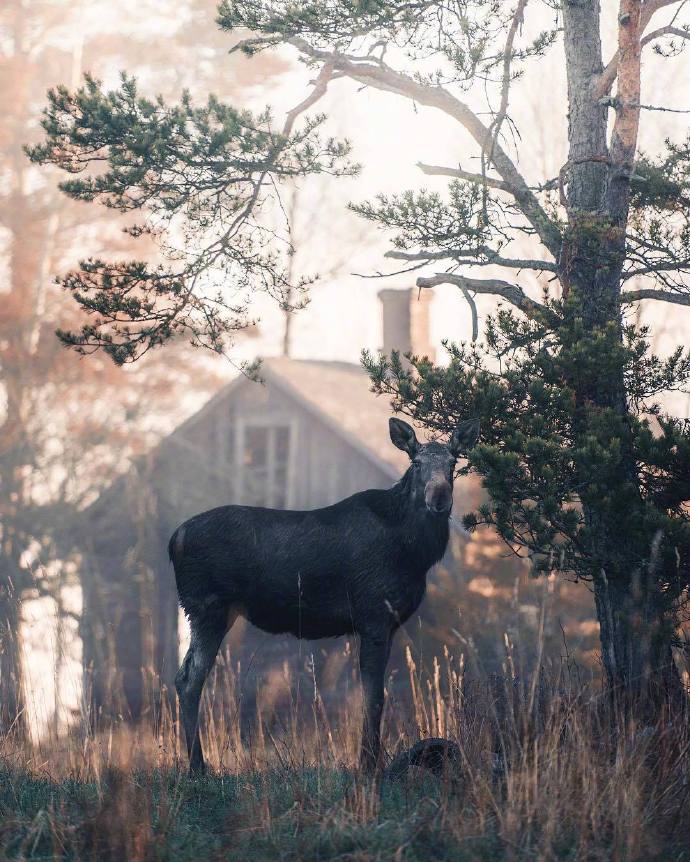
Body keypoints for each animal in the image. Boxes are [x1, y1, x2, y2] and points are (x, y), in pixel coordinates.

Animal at [169, 416, 480, 773]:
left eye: (453, 463)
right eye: (416, 462)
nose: (439, 497)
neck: (416, 555)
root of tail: (174, 540)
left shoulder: (387, 624)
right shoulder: (373, 614)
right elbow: (374, 696)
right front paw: (367, 764)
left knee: (185, 676)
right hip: (208, 607)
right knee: (189, 679)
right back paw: (197, 766)